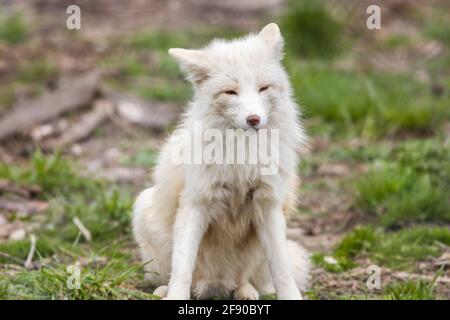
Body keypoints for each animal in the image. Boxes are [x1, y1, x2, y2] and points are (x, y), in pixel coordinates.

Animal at [133, 23, 310, 300]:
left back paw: (245, 291)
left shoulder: (268, 205)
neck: (241, 160)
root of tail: (215, 284)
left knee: (245, 278)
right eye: (230, 92)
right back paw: (164, 290)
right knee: (170, 276)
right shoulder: (196, 203)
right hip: (144, 206)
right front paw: (175, 295)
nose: (254, 119)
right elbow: (182, 267)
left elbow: (282, 270)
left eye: (263, 88)